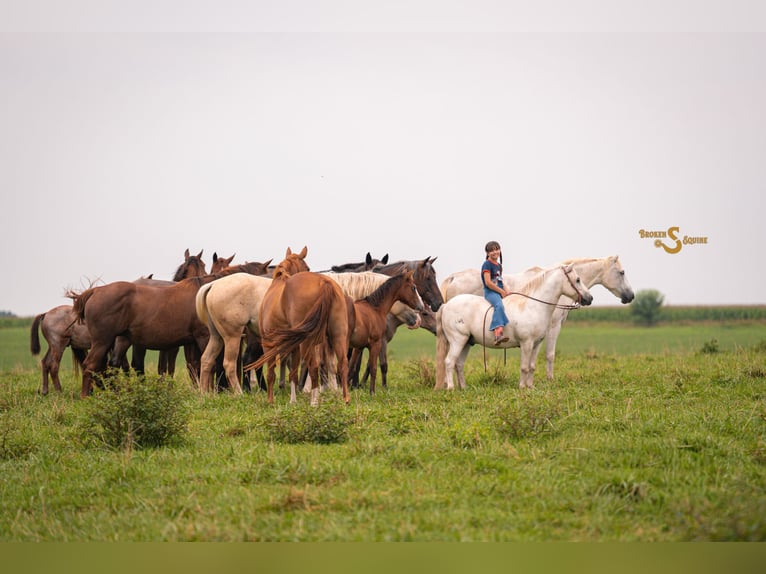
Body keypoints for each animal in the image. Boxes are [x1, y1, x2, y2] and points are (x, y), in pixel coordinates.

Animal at [70, 260, 271, 397]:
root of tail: (95, 291)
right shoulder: (203, 337)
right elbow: (212, 364)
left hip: (115, 341)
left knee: (106, 366)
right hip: (103, 341)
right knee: (91, 365)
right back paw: (86, 396)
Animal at [250, 247, 351, 406]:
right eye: (307, 267)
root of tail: (324, 282)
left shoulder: (269, 344)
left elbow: (271, 373)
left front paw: (270, 400)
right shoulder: (294, 345)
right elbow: (293, 374)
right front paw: (293, 401)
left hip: (307, 342)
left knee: (314, 367)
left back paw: (314, 402)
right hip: (337, 336)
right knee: (342, 364)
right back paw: (345, 399)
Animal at [435, 265, 593, 391]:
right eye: (577, 280)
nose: (590, 298)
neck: (533, 306)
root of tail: (446, 306)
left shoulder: (537, 344)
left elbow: (532, 366)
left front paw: (530, 386)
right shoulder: (526, 343)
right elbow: (524, 366)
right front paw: (522, 387)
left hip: (467, 342)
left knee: (459, 364)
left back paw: (464, 387)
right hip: (458, 341)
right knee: (449, 362)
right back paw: (451, 388)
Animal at [439, 255, 634, 379]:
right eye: (622, 272)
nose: (631, 296)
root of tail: (453, 277)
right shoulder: (554, 326)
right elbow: (550, 355)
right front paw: (550, 379)